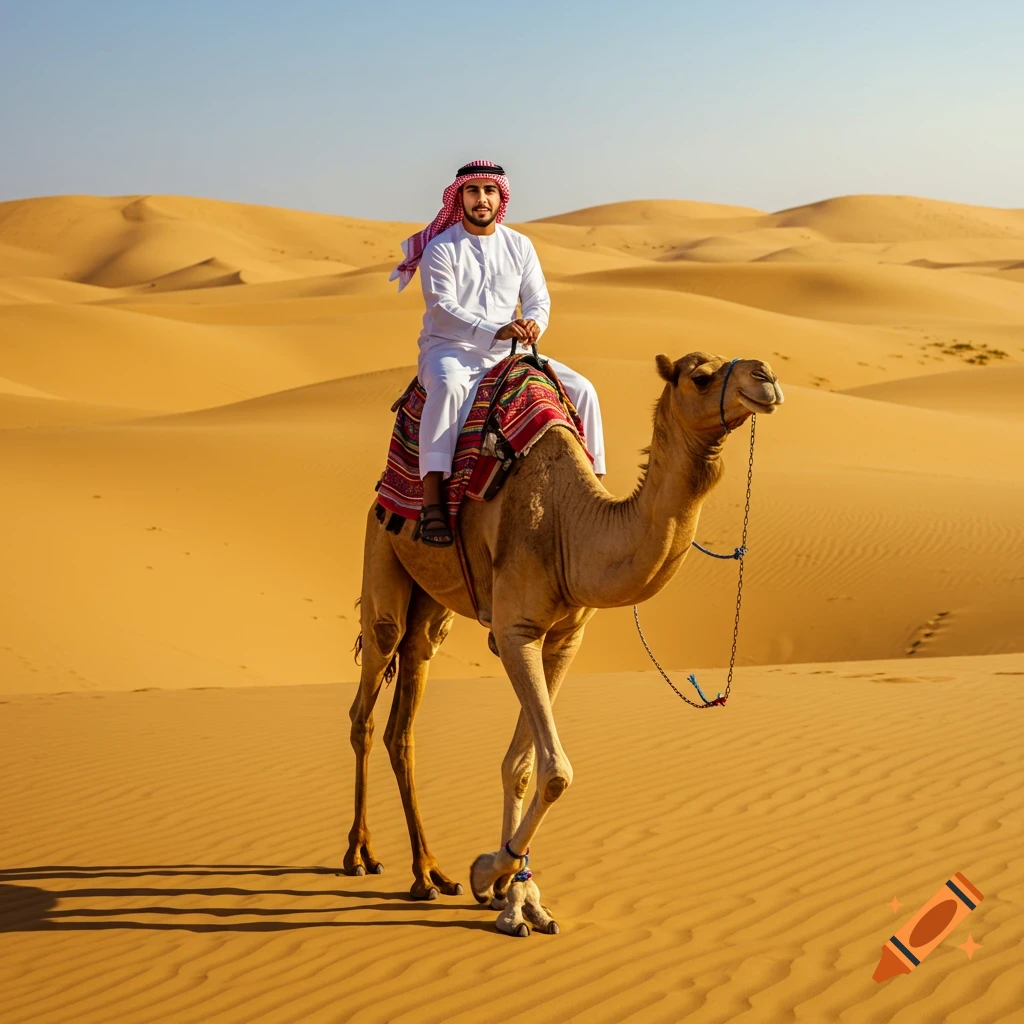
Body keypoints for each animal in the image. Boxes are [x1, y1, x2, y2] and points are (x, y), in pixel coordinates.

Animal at [345, 350, 783, 935]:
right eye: (700, 375)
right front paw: (491, 874)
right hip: (382, 553)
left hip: (432, 605)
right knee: (368, 702)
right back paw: (361, 855)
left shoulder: (563, 640)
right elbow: (555, 772)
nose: (766, 377)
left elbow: (523, 767)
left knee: (405, 710)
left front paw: (516, 896)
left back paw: (428, 873)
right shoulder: (515, 631)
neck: (567, 526)